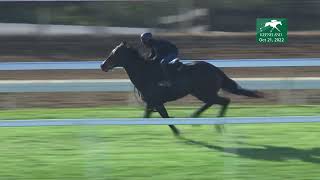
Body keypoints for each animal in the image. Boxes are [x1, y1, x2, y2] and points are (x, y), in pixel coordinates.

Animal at [101, 41, 264, 135]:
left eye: (115, 53)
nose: (102, 65)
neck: (145, 72)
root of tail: (215, 69)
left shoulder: (157, 102)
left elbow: (166, 118)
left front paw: (177, 132)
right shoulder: (151, 103)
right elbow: (146, 118)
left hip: (204, 92)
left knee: (224, 101)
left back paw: (216, 125)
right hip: (201, 93)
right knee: (214, 102)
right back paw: (194, 117)